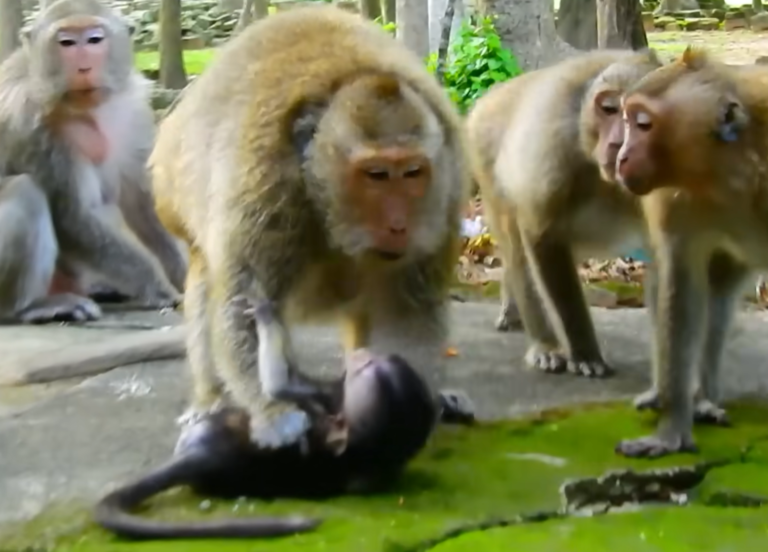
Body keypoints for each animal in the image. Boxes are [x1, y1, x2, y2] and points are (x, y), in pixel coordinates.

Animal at [0, 0, 187, 325]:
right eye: (66, 43)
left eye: (95, 39)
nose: (84, 67)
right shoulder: (34, 127)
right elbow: (74, 216)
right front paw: (159, 287)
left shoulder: (133, 112)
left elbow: (140, 203)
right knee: (25, 189)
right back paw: (29, 307)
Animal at [149, 4, 471, 449]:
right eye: (376, 175)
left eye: (412, 173)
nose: (399, 224)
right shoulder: (265, 187)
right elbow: (240, 302)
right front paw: (275, 414)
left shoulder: (446, 190)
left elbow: (406, 313)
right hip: (174, 189)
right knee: (204, 276)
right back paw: (210, 400)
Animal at [466, 49, 663, 379]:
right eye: (610, 109)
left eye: (641, 120)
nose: (616, 144)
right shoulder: (552, 147)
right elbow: (541, 236)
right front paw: (584, 353)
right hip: (487, 161)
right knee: (518, 248)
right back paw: (544, 345)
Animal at [613, 47, 768, 457]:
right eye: (627, 120)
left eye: (643, 124)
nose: (621, 156)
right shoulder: (672, 200)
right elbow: (682, 292)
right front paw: (671, 431)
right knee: (712, 296)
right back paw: (698, 398)